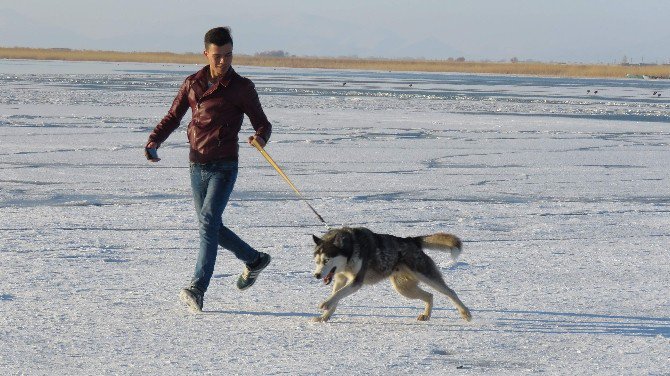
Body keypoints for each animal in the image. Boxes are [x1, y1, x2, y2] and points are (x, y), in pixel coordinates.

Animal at [314, 226, 476, 324]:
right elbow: (336, 296)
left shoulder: (356, 281)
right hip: (403, 288)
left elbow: (338, 294)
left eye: (326, 260)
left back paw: (465, 312)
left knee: (450, 292)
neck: (351, 249)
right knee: (430, 295)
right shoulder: (340, 278)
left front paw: (326, 303)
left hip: (425, 275)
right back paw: (426, 314)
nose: (316, 275)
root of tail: (411, 240)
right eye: (316, 261)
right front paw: (325, 316)